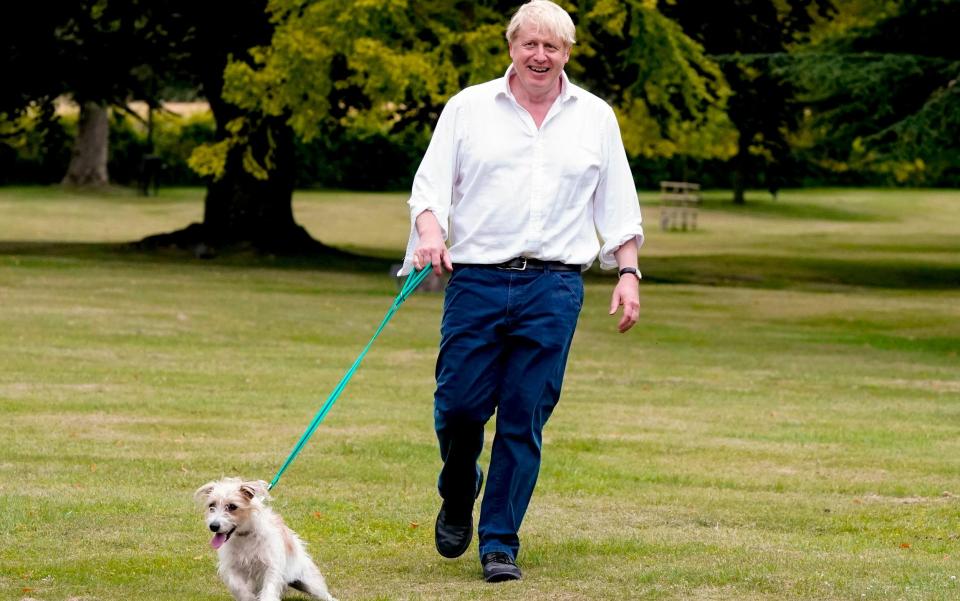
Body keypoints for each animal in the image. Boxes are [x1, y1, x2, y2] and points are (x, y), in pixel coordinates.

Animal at [192, 478, 338, 600]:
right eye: (211, 505)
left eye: (232, 506)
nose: (213, 526)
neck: (245, 536)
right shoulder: (232, 567)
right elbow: (238, 587)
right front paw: (249, 598)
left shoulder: (271, 567)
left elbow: (269, 589)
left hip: (310, 582)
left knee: (325, 595)